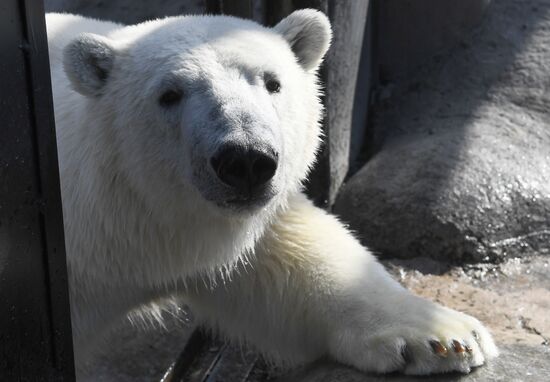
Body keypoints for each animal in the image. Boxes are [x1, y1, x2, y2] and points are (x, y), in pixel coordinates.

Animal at [46, 8, 500, 376]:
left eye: (272, 83)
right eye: (169, 94)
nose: (246, 160)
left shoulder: (235, 226)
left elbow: (292, 263)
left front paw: (444, 337)